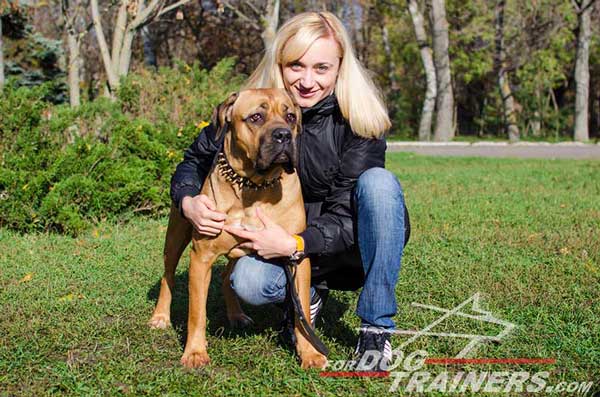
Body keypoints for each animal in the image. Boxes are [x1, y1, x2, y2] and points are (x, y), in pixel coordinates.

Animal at [149, 89, 328, 368]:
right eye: (256, 117)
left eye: (290, 117)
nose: (284, 135)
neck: (253, 185)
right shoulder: (201, 257)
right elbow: (196, 313)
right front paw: (195, 352)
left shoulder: (296, 258)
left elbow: (303, 316)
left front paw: (310, 353)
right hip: (175, 237)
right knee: (168, 275)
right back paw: (160, 316)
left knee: (227, 277)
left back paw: (236, 314)